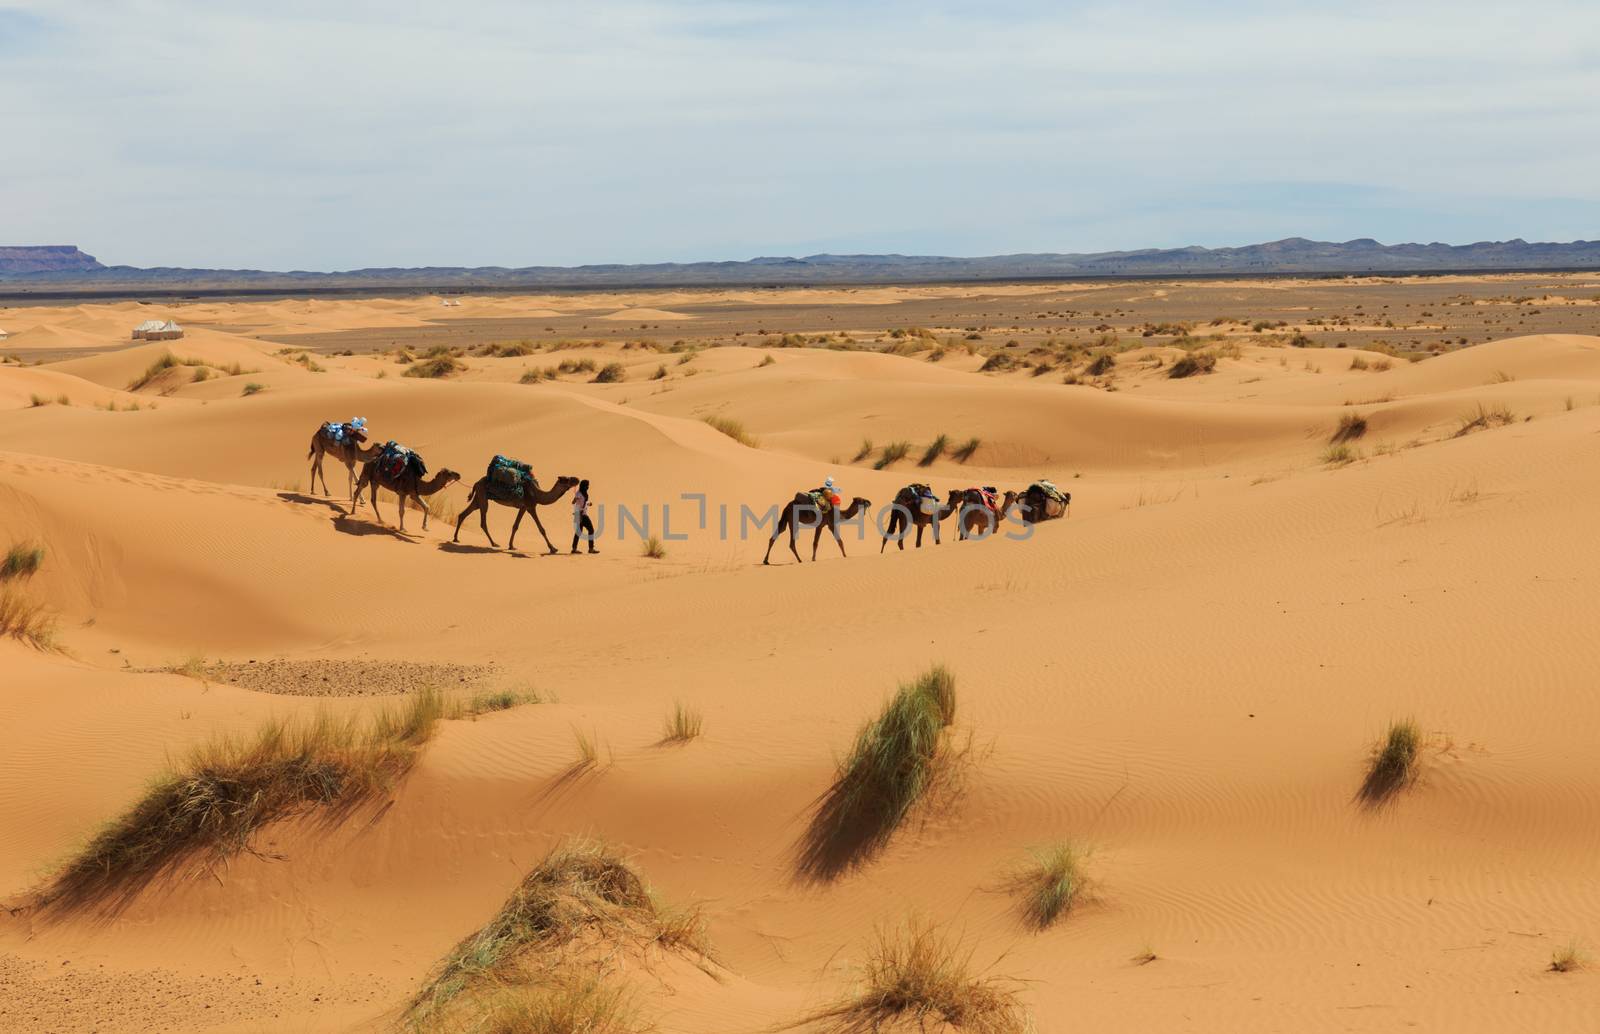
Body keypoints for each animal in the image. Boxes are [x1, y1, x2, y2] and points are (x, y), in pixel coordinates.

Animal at [451, 473, 582, 553]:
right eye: (567, 479)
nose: (577, 479)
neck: (538, 494)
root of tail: (476, 483)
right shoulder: (531, 507)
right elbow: (541, 529)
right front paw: (553, 548)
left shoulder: (523, 507)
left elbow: (515, 526)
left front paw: (511, 546)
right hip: (483, 497)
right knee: (483, 522)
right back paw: (494, 543)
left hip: (478, 499)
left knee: (463, 514)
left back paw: (456, 538)